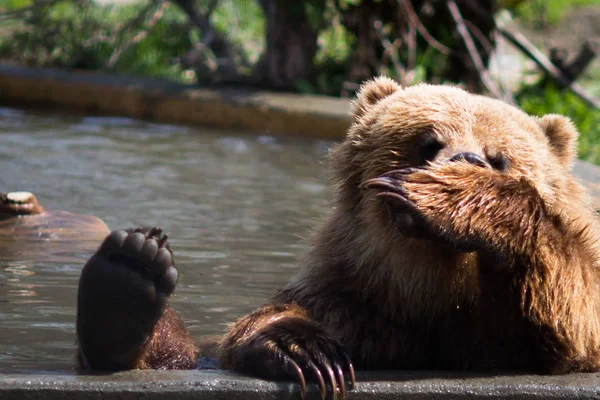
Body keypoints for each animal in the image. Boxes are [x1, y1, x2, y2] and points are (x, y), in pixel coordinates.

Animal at [77, 78, 600, 400]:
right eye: (427, 141)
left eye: (499, 158)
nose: (465, 159)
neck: (433, 291)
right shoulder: (359, 309)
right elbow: (256, 331)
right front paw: (306, 351)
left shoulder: (515, 335)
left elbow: (579, 313)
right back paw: (127, 277)